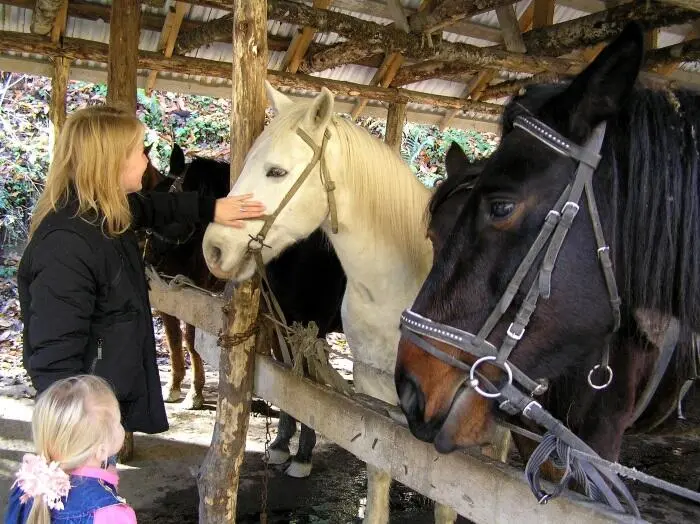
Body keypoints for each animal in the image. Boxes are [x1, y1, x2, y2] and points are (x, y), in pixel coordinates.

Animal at [200, 83, 456, 524]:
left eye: (277, 172)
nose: (214, 248)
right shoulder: (370, 386)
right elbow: (380, 468)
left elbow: (451, 497)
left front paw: (299, 457)